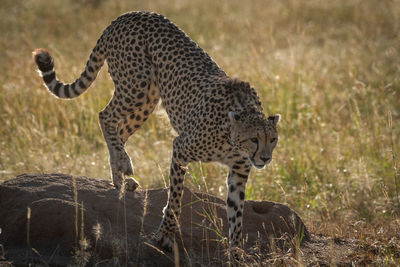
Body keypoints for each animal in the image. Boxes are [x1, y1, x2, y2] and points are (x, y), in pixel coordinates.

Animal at [32, 11, 282, 255]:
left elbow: (236, 213)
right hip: (137, 87)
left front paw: (237, 252)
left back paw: (120, 179)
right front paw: (165, 236)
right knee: (105, 116)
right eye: (254, 139)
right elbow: (175, 198)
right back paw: (122, 164)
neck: (232, 137)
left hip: (146, 99)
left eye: (273, 140)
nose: (265, 158)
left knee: (120, 129)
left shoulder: (238, 171)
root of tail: (128, 14)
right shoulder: (180, 148)